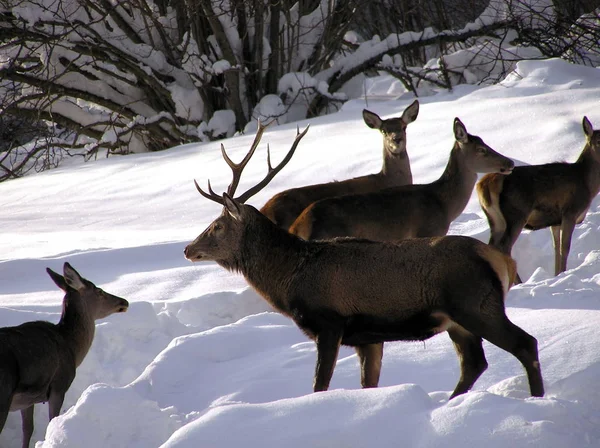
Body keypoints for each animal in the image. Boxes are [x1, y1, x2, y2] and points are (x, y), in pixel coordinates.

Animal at [0, 262, 129, 448]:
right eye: (99, 291)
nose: (124, 301)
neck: (72, 348)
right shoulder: (59, 385)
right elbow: (51, 422)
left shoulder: (28, 399)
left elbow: (28, 429)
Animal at [478, 117, 600, 282]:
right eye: (599, 141)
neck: (588, 184)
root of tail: (484, 184)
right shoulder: (570, 212)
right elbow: (565, 247)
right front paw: (563, 274)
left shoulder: (555, 221)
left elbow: (556, 248)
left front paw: (557, 275)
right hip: (517, 214)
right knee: (504, 247)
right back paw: (517, 282)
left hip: (495, 220)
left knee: (493, 246)